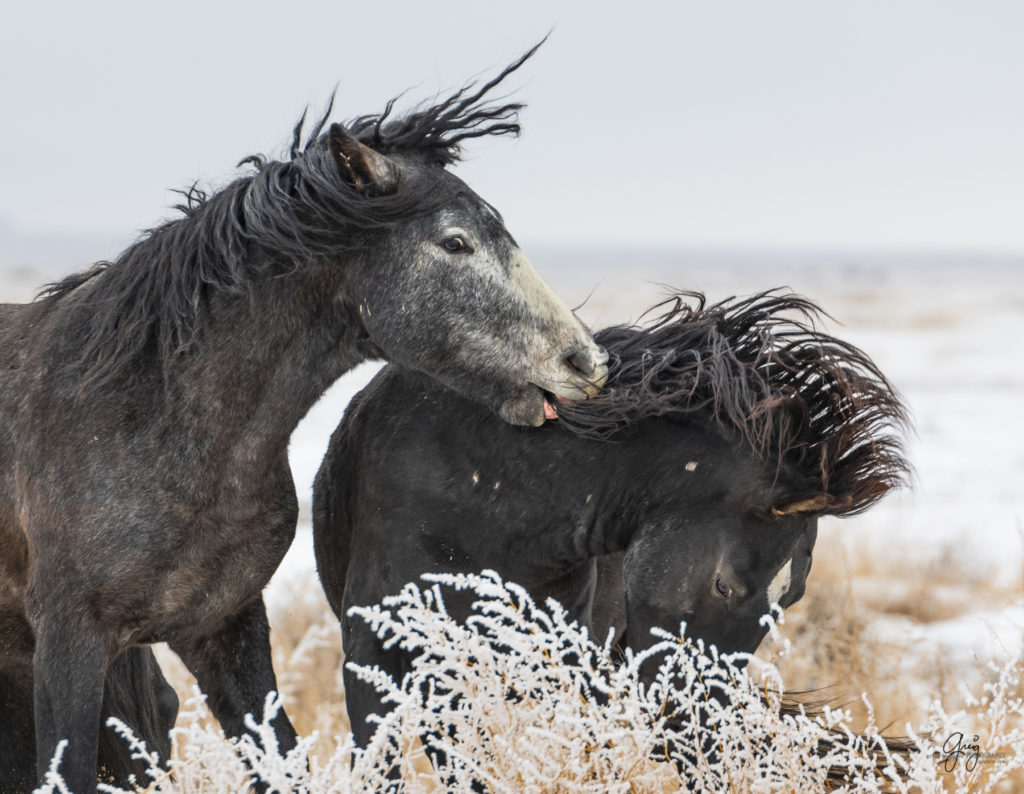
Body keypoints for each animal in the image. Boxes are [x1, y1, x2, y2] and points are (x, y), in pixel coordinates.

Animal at [0, 45, 606, 794]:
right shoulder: (70, 642)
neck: (149, 420)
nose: (586, 360)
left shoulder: (223, 628)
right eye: (455, 243)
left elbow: (280, 759)